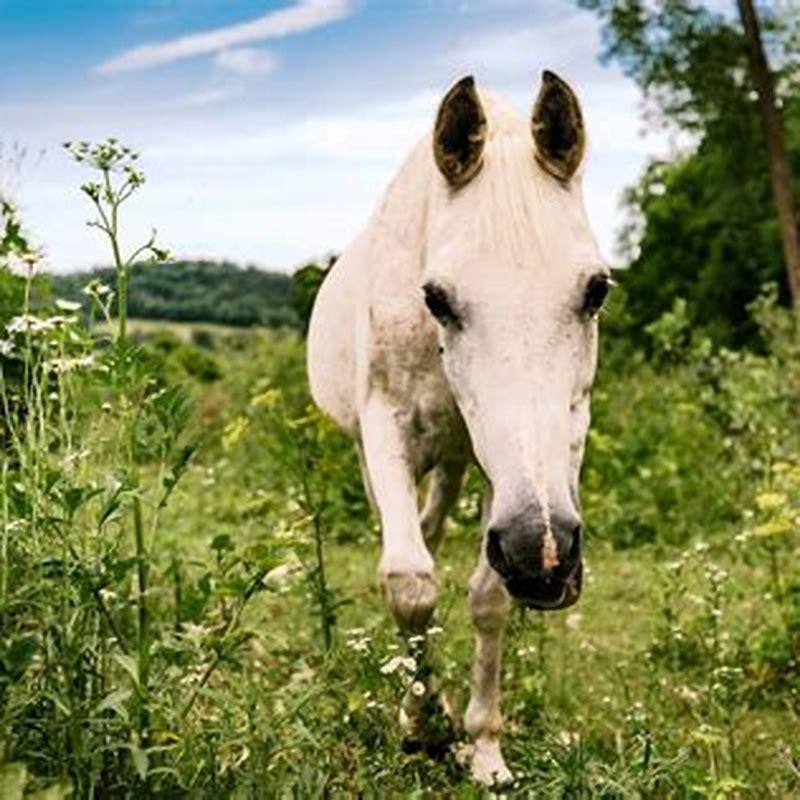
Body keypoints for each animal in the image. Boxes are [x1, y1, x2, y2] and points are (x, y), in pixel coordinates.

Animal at [306, 72, 608, 784]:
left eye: (597, 290)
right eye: (436, 298)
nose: (543, 555)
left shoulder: (522, 466)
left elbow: (488, 596)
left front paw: (484, 747)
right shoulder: (385, 433)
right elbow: (409, 582)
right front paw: (422, 723)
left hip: (457, 463)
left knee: (439, 523)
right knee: (413, 537)